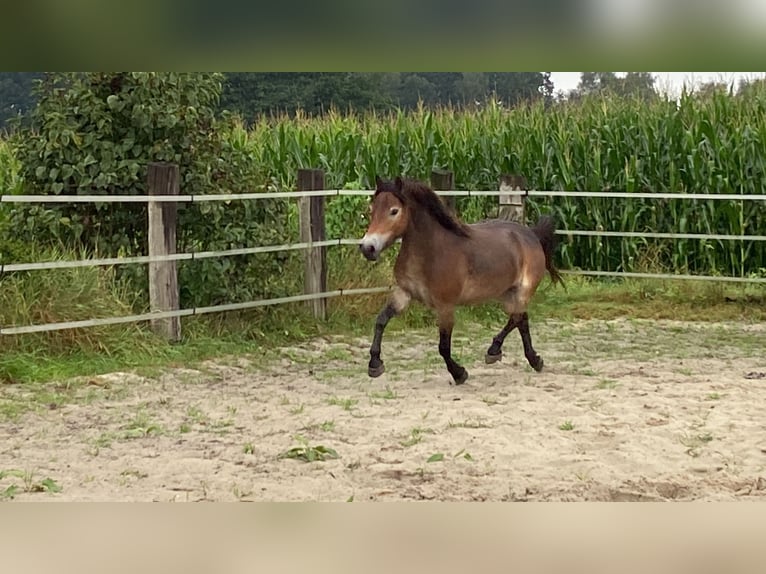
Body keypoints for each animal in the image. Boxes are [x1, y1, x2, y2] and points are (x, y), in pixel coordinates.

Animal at [360, 176, 564, 388]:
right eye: (371, 209)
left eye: (394, 211)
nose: (368, 248)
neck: (431, 252)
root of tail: (530, 234)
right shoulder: (403, 293)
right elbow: (381, 321)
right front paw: (375, 364)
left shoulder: (445, 306)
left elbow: (443, 346)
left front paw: (459, 373)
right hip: (507, 293)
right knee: (520, 319)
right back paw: (504, 353)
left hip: (523, 290)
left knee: (518, 319)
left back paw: (523, 358)